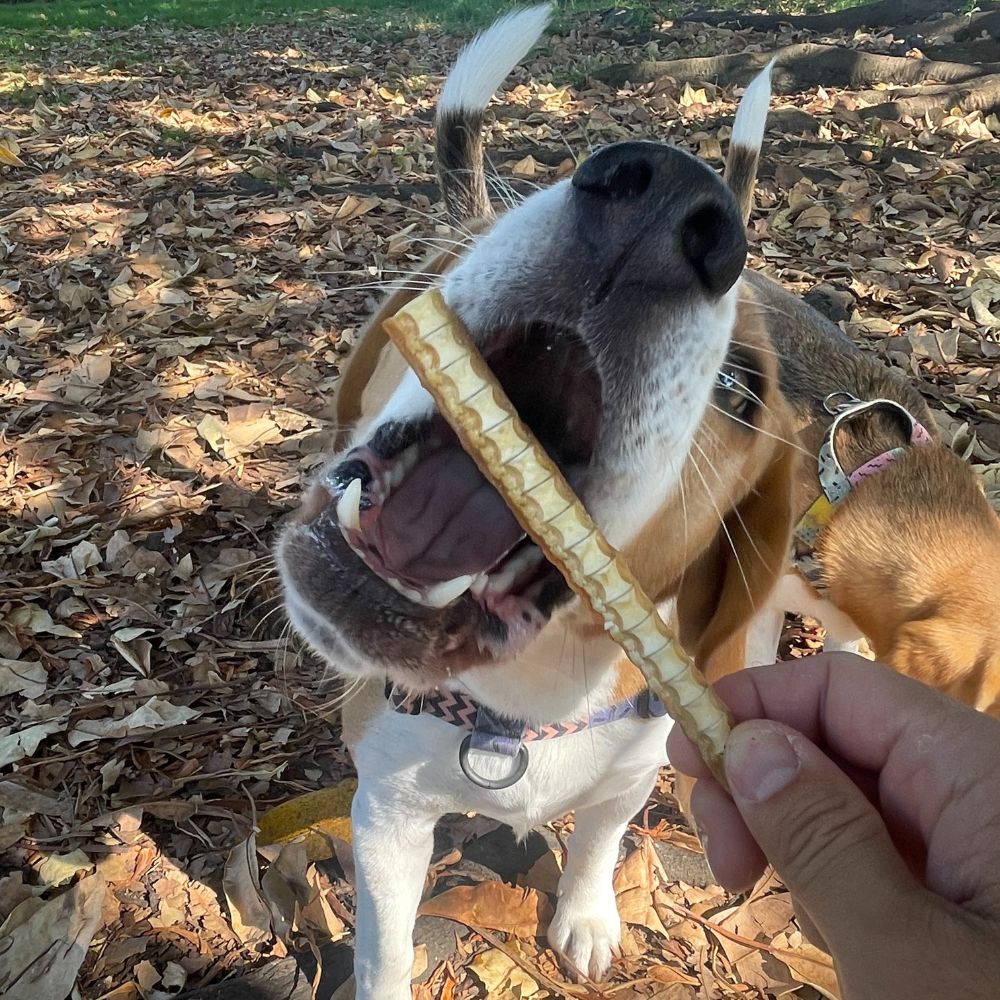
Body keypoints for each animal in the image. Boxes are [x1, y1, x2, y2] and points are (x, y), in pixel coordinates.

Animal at [278, 5, 792, 992]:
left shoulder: (630, 779)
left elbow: (596, 843)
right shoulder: (386, 817)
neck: (520, 714)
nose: (671, 198)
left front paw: (586, 917)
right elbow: (384, 948)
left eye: (742, 390)